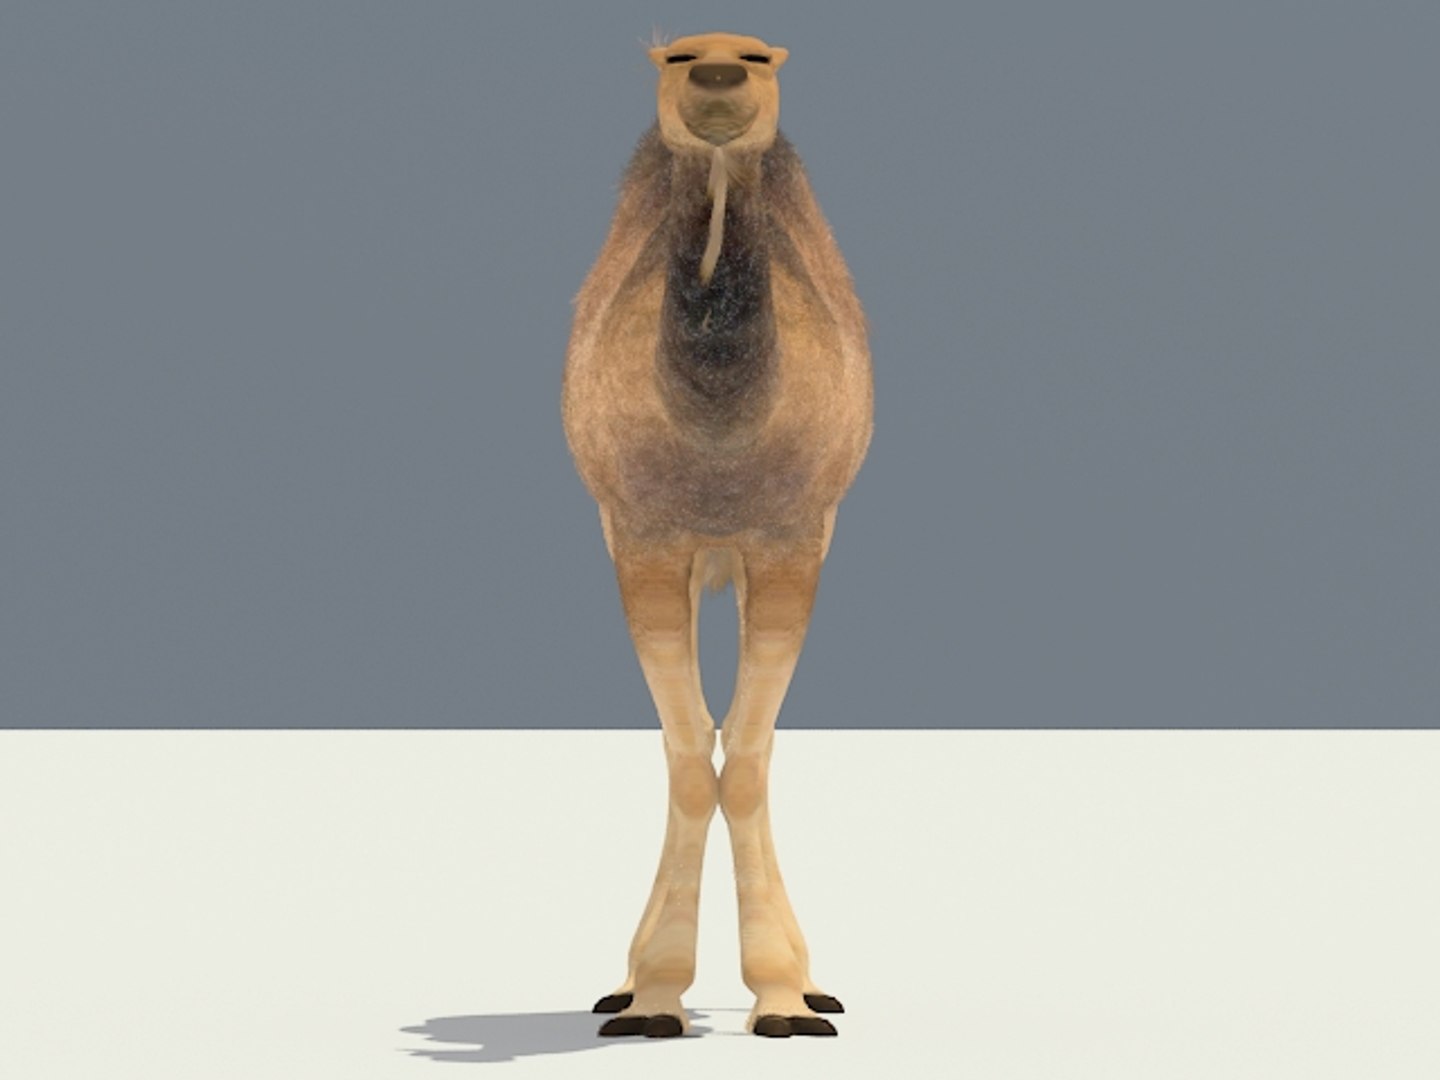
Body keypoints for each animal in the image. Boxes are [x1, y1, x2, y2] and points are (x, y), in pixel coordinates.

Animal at [561, 31, 873, 1039]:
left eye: (763, 56)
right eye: (674, 55)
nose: (719, 79)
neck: (720, 438)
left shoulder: (791, 538)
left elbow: (747, 756)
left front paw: (784, 1002)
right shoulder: (644, 538)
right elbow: (692, 756)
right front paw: (653, 999)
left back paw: (810, 984)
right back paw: (626, 984)